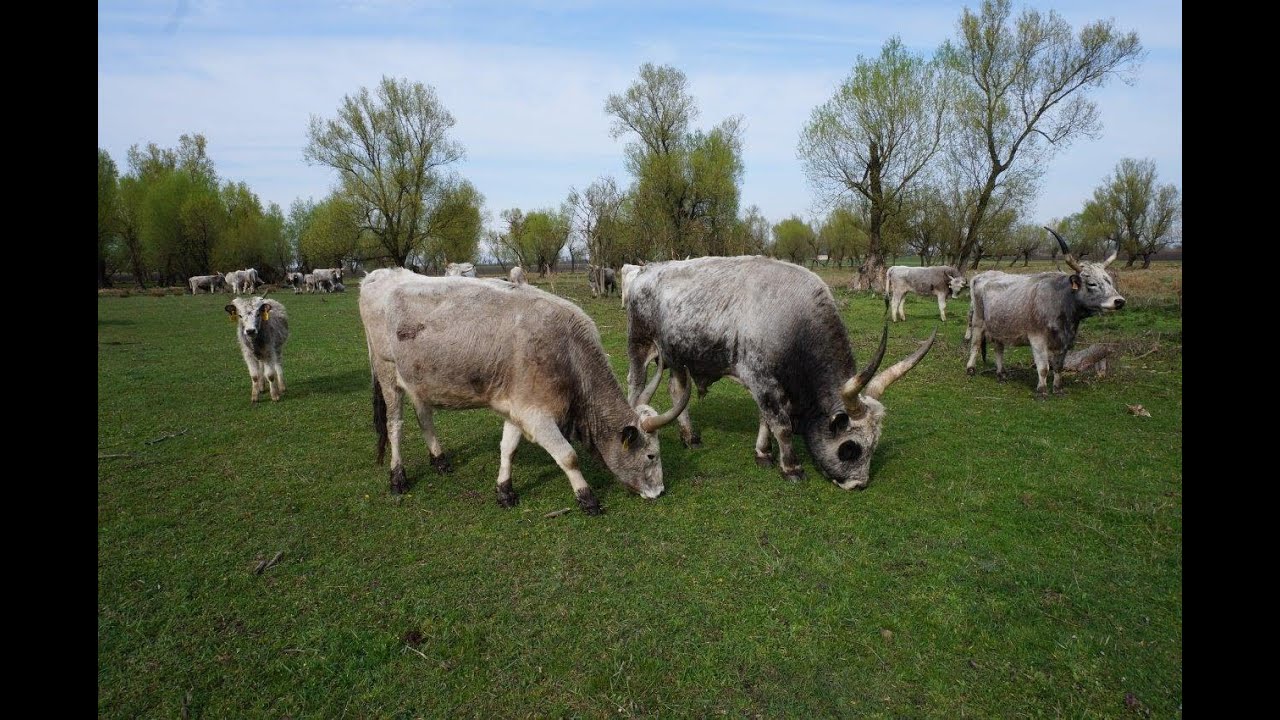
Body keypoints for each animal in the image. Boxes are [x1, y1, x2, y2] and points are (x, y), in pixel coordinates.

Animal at [355, 267, 696, 509]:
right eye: (651, 456)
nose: (659, 491)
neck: (567, 349)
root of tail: (378, 275)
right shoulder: (537, 415)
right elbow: (568, 456)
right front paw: (587, 497)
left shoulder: (518, 407)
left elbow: (508, 448)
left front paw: (504, 491)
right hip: (387, 374)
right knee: (395, 425)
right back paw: (398, 477)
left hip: (418, 380)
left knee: (424, 416)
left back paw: (439, 460)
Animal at [624, 253, 936, 486]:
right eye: (850, 448)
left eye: (874, 446)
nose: (858, 484)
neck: (795, 321)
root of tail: (645, 270)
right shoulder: (762, 381)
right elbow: (781, 425)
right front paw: (791, 467)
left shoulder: (772, 386)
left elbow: (767, 420)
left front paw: (763, 453)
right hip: (640, 347)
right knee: (635, 386)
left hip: (678, 360)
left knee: (678, 391)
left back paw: (690, 437)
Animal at [962, 225, 1126, 394]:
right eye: (1092, 283)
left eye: (1109, 281)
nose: (1119, 301)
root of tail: (984, 275)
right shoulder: (1037, 338)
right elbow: (1043, 367)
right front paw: (1042, 390)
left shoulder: (1064, 341)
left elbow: (1058, 366)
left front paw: (1058, 388)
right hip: (978, 320)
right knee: (975, 344)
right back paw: (971, 368)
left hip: (999, 326)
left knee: (998, 349)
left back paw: (1001, 374)